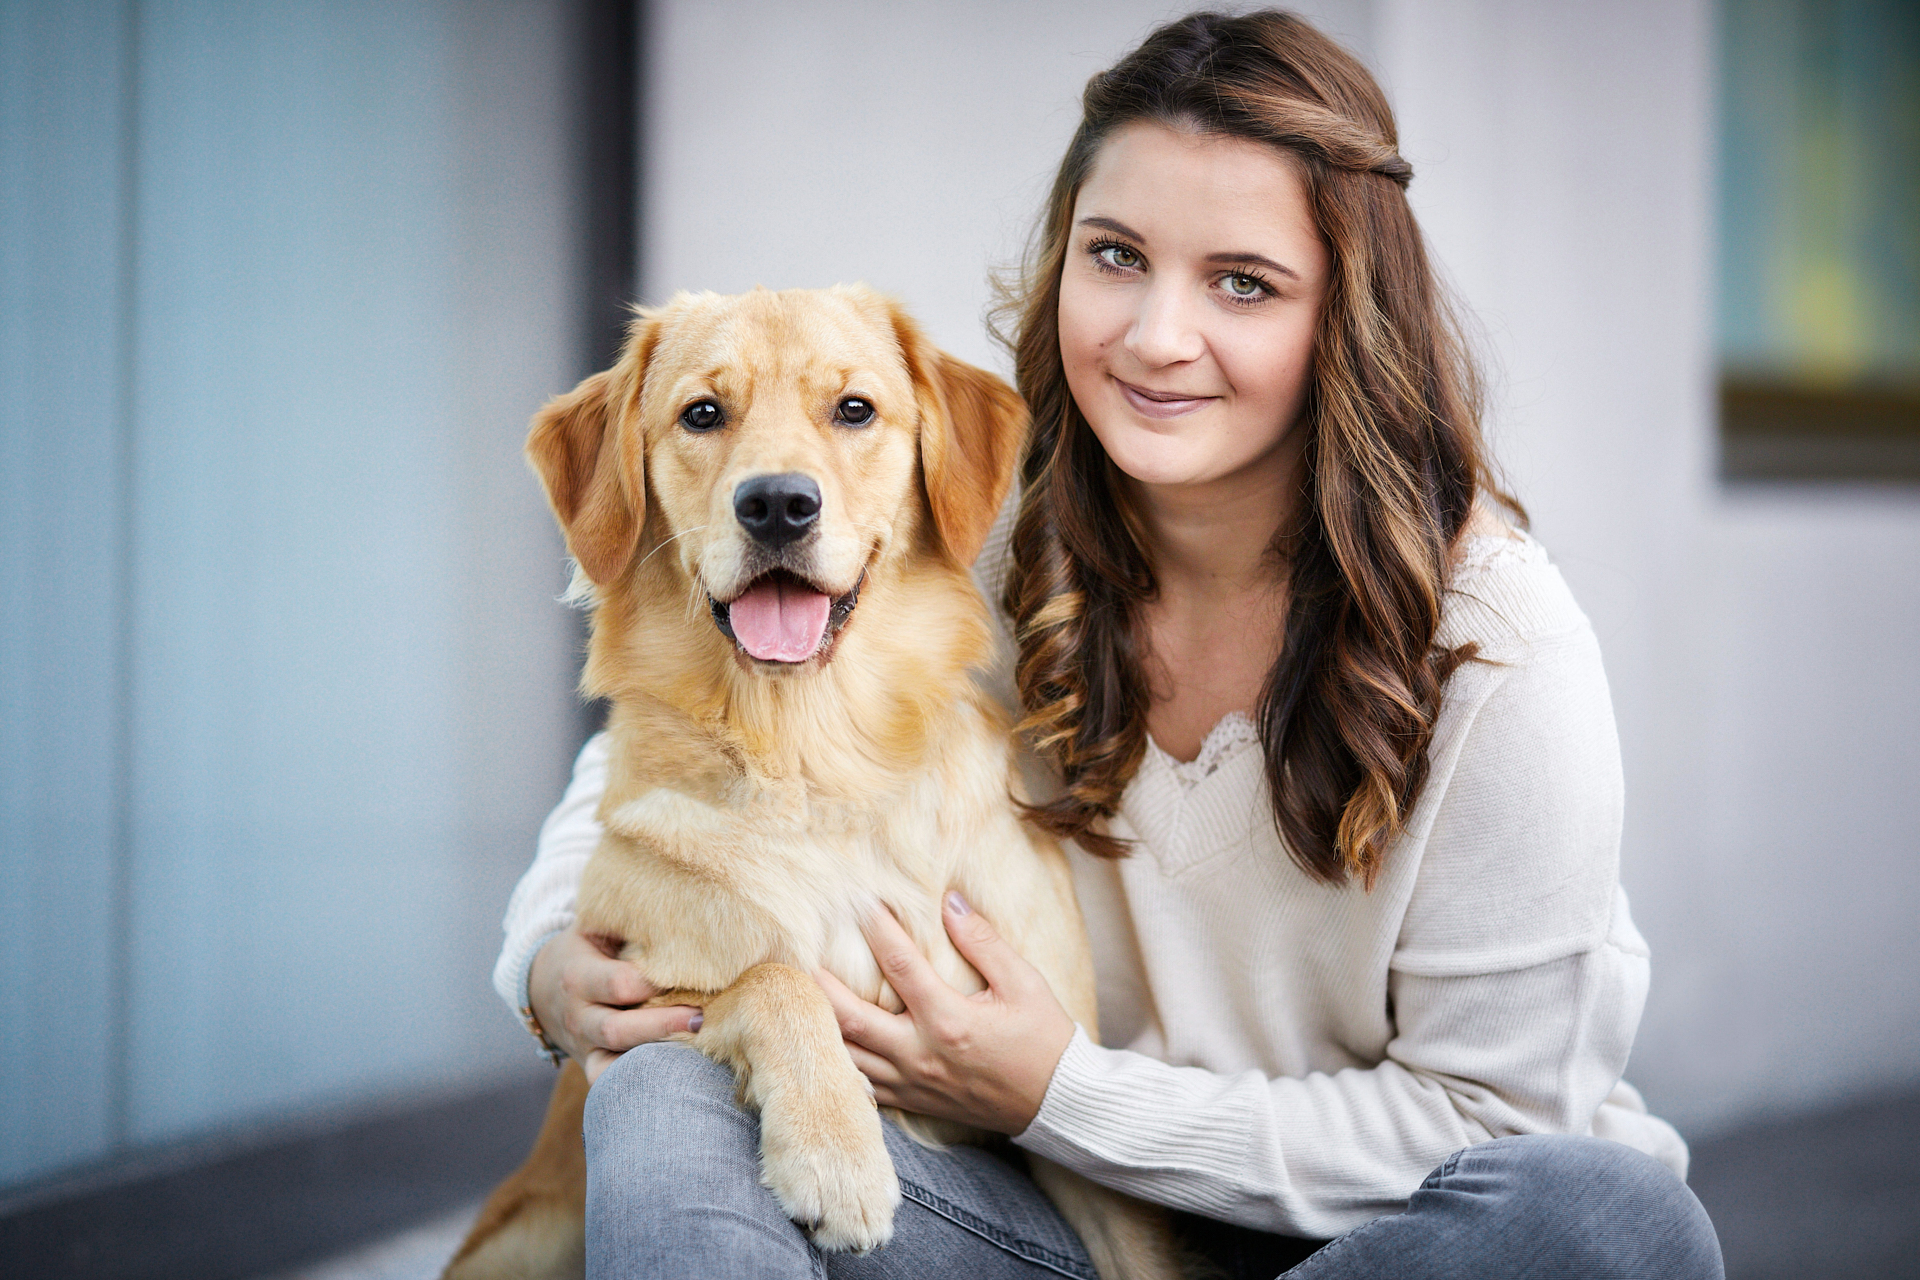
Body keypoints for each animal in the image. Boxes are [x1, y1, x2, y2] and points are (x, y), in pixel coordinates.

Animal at [443, 285, 1175, 1280]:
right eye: (702, 414)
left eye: (854, 409)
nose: (779, 504)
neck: (812, 754)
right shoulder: (639, 1003)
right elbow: (773, 977)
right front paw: (835, 1155)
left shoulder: (1054, 1082)